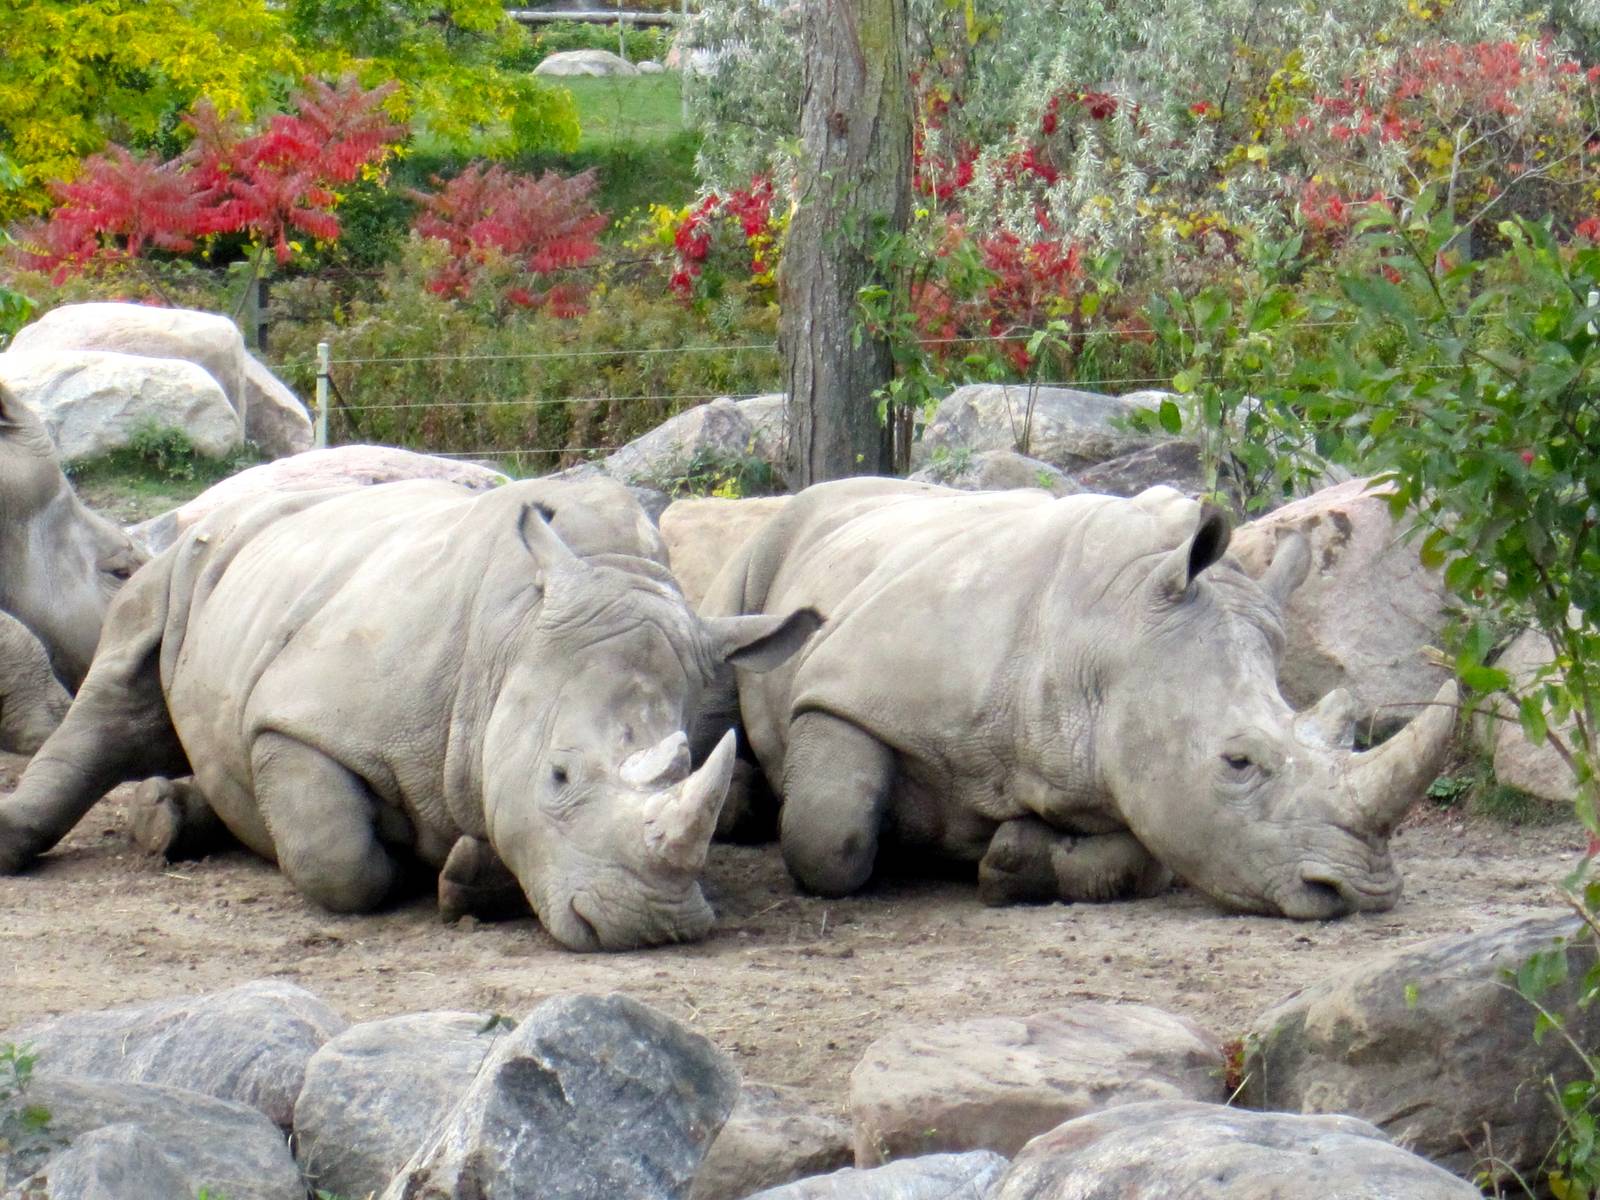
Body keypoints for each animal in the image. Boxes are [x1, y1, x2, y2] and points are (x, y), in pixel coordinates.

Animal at [0, 477, 818, 950]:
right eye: (557, 776)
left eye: (693, 764)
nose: (654, 927)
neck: (511, 640)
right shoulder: (296, 718)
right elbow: (337, 857)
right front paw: (399, 866)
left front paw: (466, 875)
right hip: (179, 563)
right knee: (119, 692)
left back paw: (171, 819)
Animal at [700, 478, 1458, 919]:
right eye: (1238, 763)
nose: (1361, 894)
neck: (1106, 636)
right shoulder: (843, 686)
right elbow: (831, 833)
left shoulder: (1135, 762)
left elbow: (1146, 857)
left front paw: (1010, 860)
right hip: (762, 547)